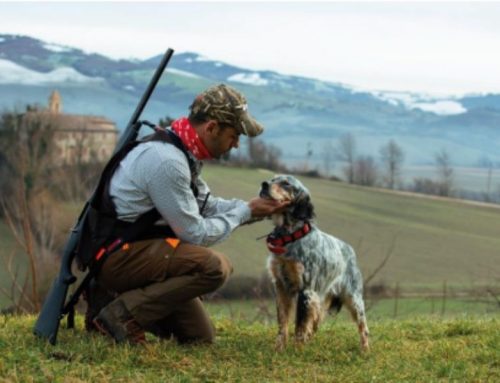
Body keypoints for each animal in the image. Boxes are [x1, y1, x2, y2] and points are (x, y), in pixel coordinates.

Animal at [260, 176, 370, 352]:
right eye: (272, 179)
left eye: (286, 183)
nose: (264, 184)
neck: (290, 237)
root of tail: (350, 250)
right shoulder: (281, 286)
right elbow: (283, 323)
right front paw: (279, 349)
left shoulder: (306, 290)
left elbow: (300, 326)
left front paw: (297, 351)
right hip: (321, 300)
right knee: (315, 324)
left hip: (353, 298)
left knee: (363, 327)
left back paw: (365, 350)